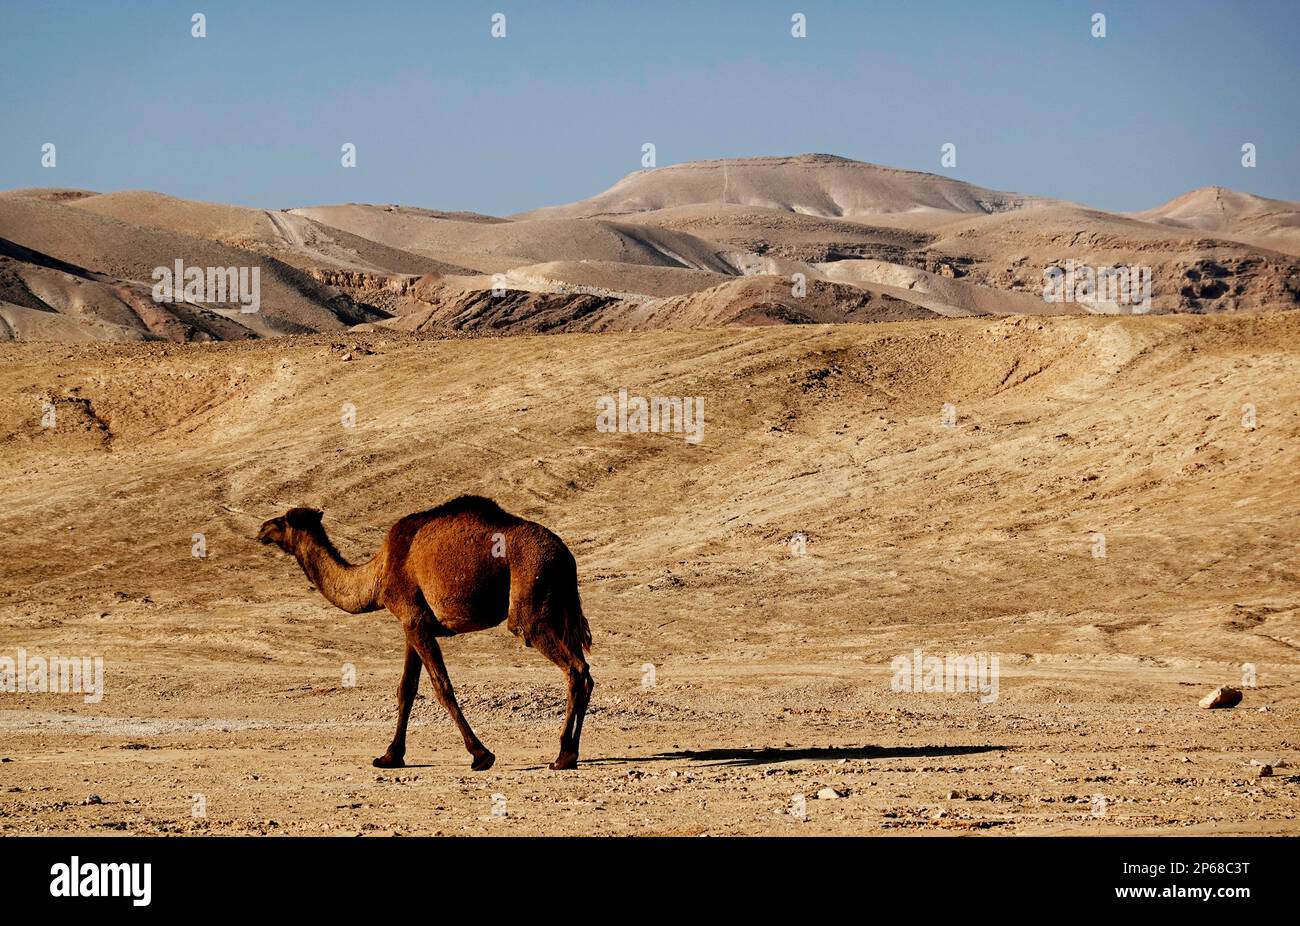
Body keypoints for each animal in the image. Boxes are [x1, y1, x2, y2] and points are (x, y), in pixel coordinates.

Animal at [256, 496, 592, 769]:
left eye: (283, 520)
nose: (262, 528)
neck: (377, 574)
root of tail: (565, 555)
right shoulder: (413, 624)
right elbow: (406, 688)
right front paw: (390, 756)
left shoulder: (413, 618)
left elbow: (442, 686)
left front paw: (481, 755)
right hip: (559, 607)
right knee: (586, 672)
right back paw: (572, 754)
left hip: (530, 604)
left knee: (572, 667)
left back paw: (562, 755)